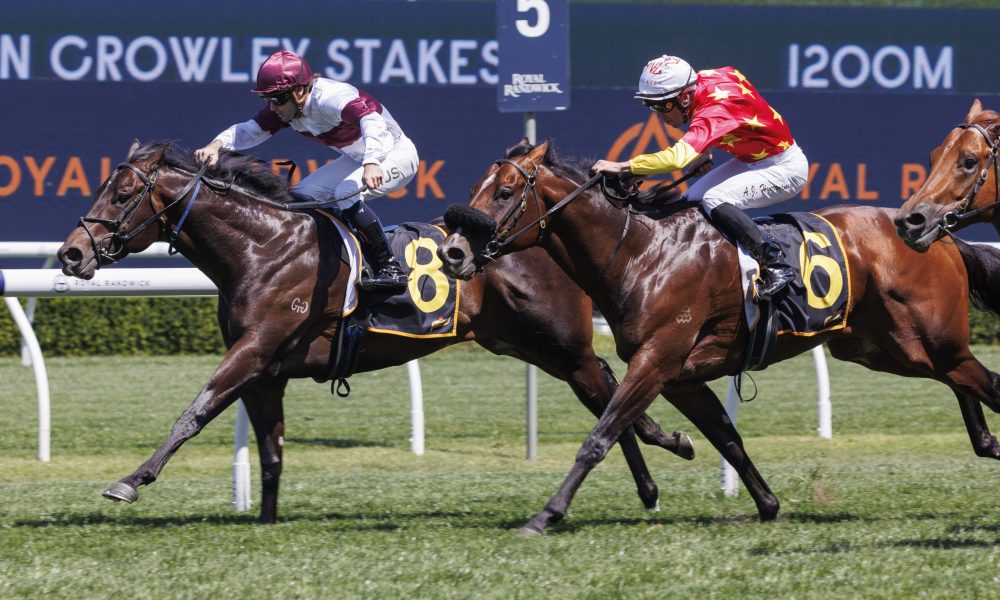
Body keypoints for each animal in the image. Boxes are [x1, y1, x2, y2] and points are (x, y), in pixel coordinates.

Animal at [55, 141, 694, 524]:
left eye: (122, 193)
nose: (70, 253)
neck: (262, 248)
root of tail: (539, 234)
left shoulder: (254, 349)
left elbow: (193, 412)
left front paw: (131, 480)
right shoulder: (265, 371)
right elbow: (270, 450)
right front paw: (265, 520)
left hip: (557, 340)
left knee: (609, 391)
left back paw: (660, 462)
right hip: (525, 343)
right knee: (606, 390)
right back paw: (657, 466)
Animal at [437, 138, 1000, 535]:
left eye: (504, 193)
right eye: (474, 190)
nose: (452, 253)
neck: (642, 253)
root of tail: (934, 230)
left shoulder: (657, 360)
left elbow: (600, 437)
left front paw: (546, 515)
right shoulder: (681, 376)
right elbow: (727, 439)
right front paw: (768, 506)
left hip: (920, 340)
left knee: (981, 378)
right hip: (887, 348)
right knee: (965, 379)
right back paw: (986, 440)